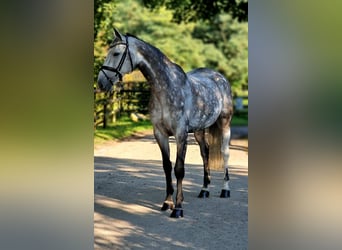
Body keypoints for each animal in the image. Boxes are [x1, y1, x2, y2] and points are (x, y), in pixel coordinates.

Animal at [97, 28, 234, 218]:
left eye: (116, 53)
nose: (101, 83)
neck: (166, 88)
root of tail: (220, 78)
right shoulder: (160, 134)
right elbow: (167, 166)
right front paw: (167, 202)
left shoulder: (180, 134)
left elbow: (179, 169)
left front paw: (178, 207)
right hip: (199, 130)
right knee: (205, 152)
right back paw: (204, 190)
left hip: (224, 123)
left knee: (225, 152)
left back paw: (225, 190)